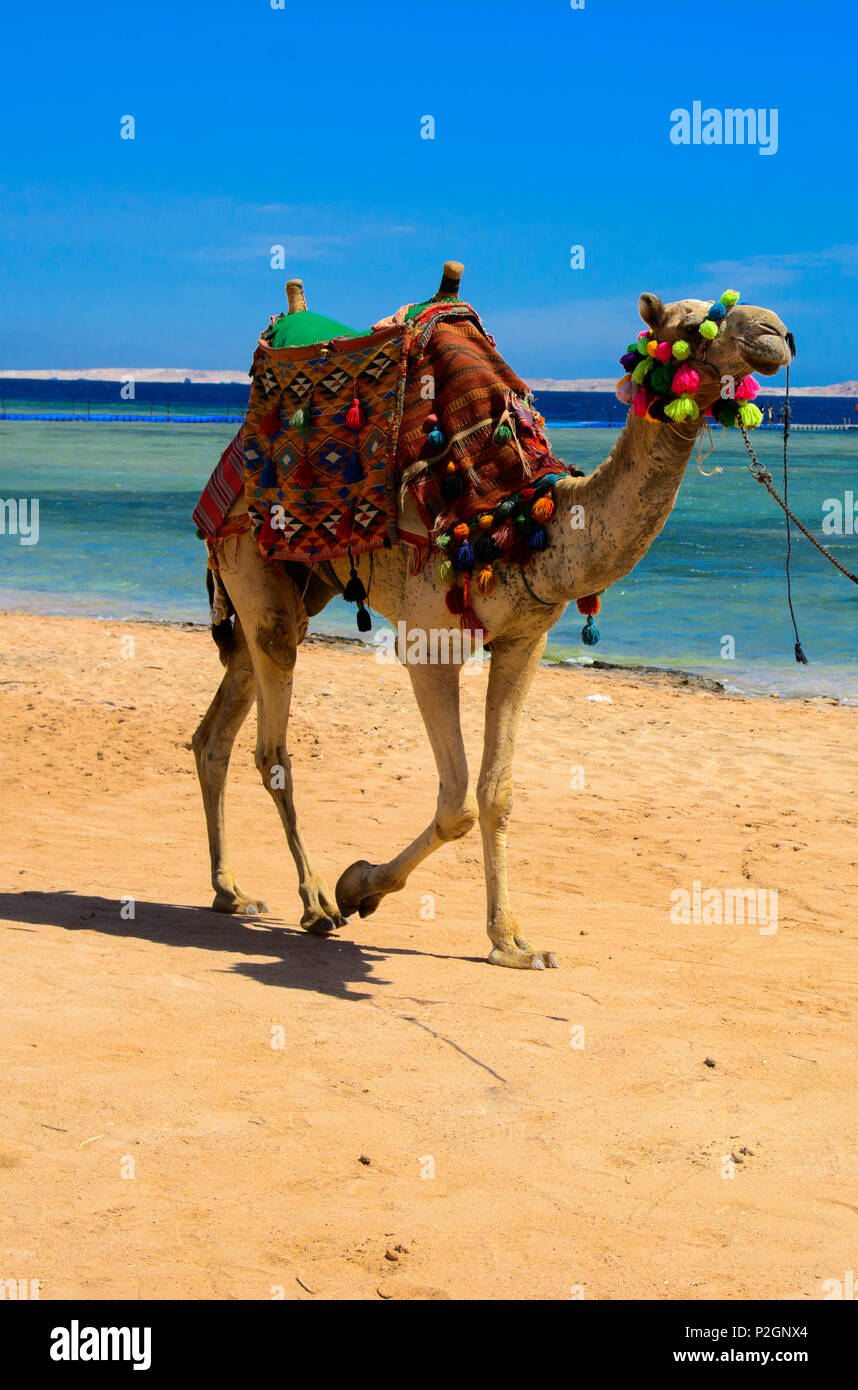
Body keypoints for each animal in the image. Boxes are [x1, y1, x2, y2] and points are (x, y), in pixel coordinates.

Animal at [192, 267, 792, 968]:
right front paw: (358, 886)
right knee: (271, 742)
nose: (777, 332)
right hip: (251, 561)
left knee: (216, 730)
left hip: (296, 586)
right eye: (692, 324)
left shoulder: (523, 639)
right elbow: (456, 802)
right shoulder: (427, 641)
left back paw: (230, 891)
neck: (521, 520)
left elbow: (496, 794)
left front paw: (512, 941)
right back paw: (314, 902)